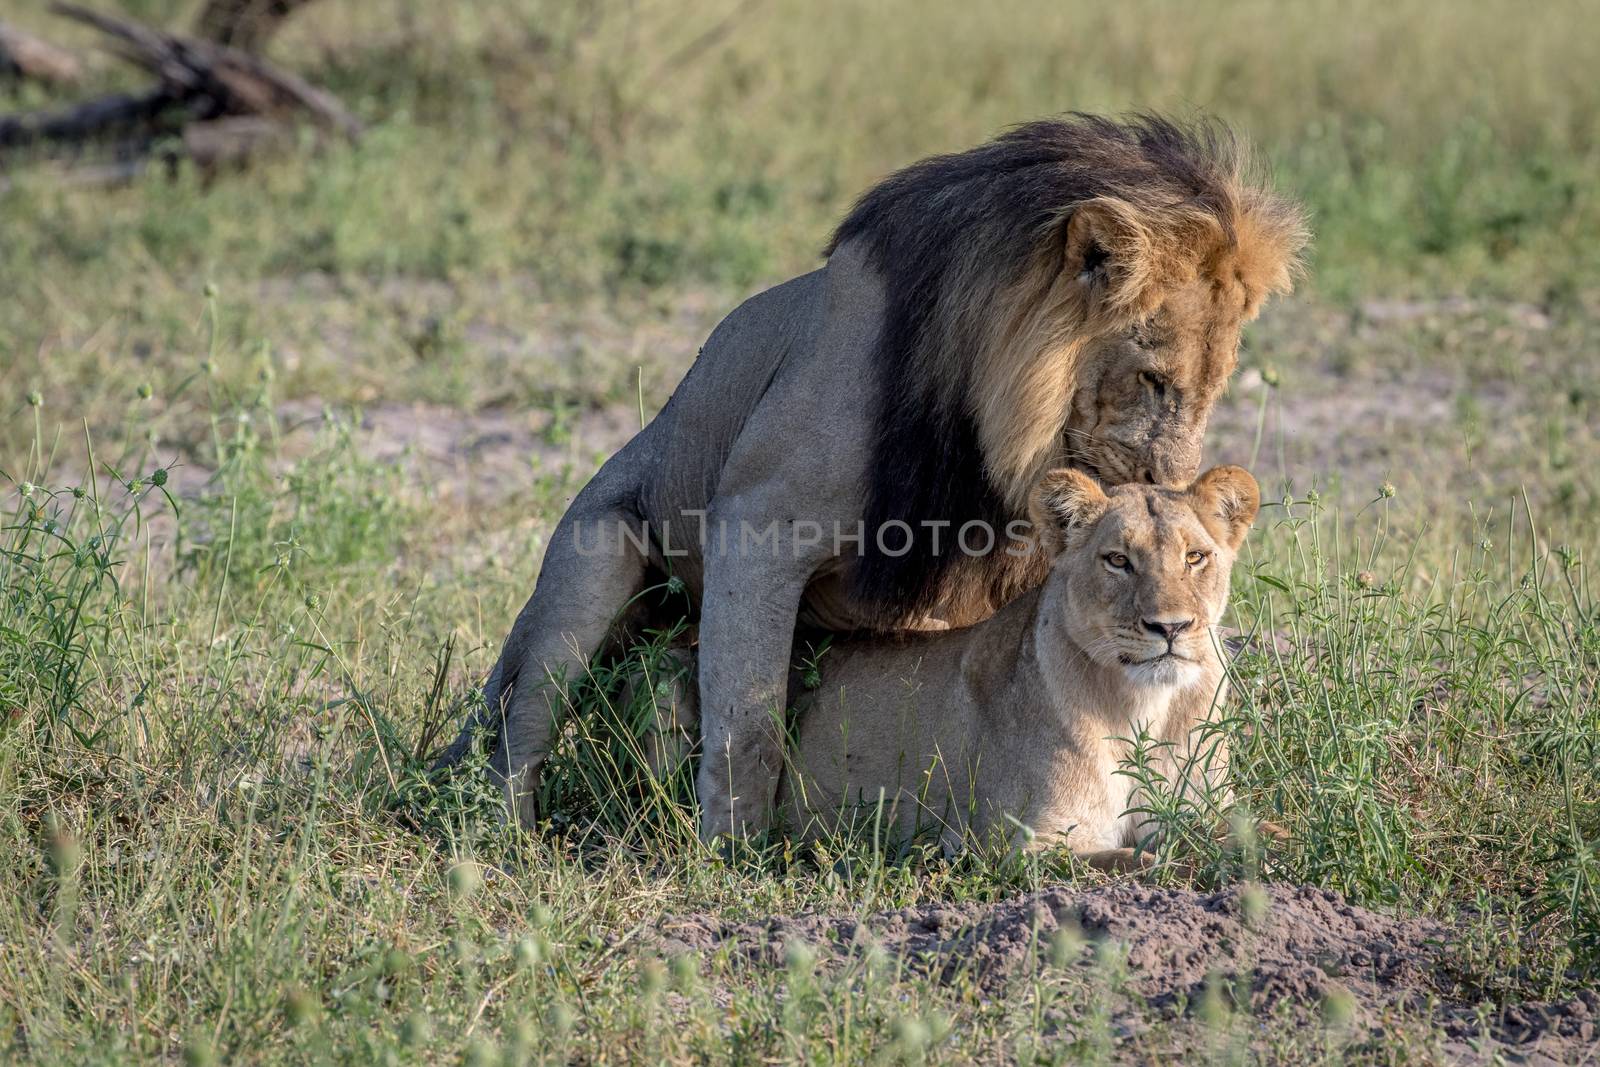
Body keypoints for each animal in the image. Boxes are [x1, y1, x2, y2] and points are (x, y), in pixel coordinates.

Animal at [643, 463, 1254, 863]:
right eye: (1118, 561)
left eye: (1195, 557)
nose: (1170, 628)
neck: (1142, 704)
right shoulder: (1018, 842)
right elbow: (1148, 862)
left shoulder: (1205, 811)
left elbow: (1253, 835)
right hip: (671, 673)